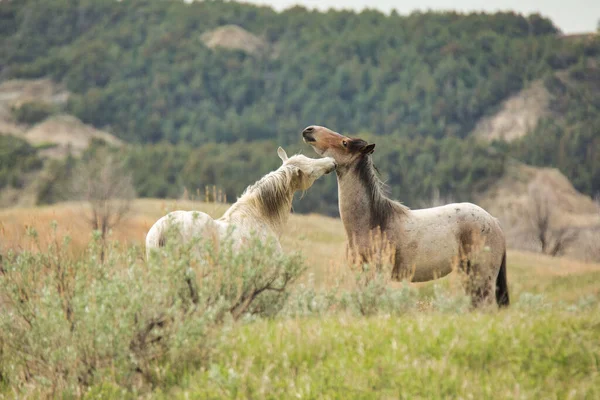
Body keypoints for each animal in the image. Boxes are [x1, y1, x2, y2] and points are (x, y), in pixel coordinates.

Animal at [302, 126, 508, 308]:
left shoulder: (377, 273)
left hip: (483, 276)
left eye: (344, 142)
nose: (309, 130)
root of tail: (495, 222)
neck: (371, 223)